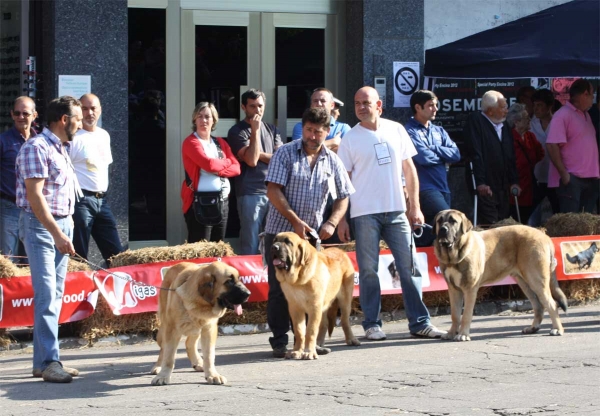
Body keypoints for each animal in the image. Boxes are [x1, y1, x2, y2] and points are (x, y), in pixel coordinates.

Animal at [272, 232, 360, 360]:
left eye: (288, 242)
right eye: (274, 240)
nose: (274, 247)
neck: (298, 279)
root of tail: (341, 250)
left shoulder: (314, 307)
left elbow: (310, 330)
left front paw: (308, 352)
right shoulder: (295, 308)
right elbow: (299, 331)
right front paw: (297, 351)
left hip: (345, 300)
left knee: (344, 321)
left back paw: (351, 339)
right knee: (324, 324)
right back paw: (319, 344)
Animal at [434, 210, 564, 340]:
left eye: (453, 221)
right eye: (439, 220)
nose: (443, 229)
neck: (453, 256)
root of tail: (544, 236)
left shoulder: (470, 289)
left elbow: (466, 314)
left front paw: (463, 335)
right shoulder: (454, 290)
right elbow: (455, 314)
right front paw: (451, 333)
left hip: (536, 279)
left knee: (551, 304)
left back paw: (557, 329)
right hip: (525, 282)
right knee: (538, 305)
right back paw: (533, 328)